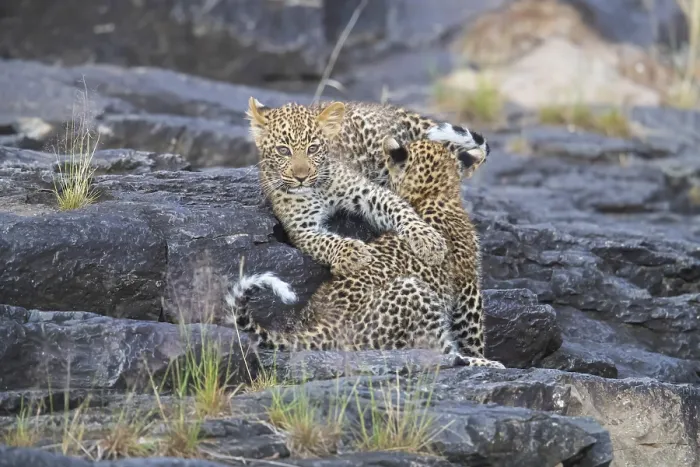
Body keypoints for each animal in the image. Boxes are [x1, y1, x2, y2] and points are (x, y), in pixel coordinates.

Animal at [223, 137, 504, 369]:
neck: (428, 193)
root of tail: (329, 327)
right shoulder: (468, 285)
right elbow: (472, 330)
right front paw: (480, 355)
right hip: (413, 291)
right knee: (438, 351)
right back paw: (483, 363)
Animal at [246, 97, 490, 277]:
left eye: (313, 149)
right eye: (283, 150)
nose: (301, 177)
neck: (317, 188)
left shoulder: (369, 192)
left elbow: (401, 210)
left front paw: (428, 240)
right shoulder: (301, 228)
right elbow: (324, 242)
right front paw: (353, 253)